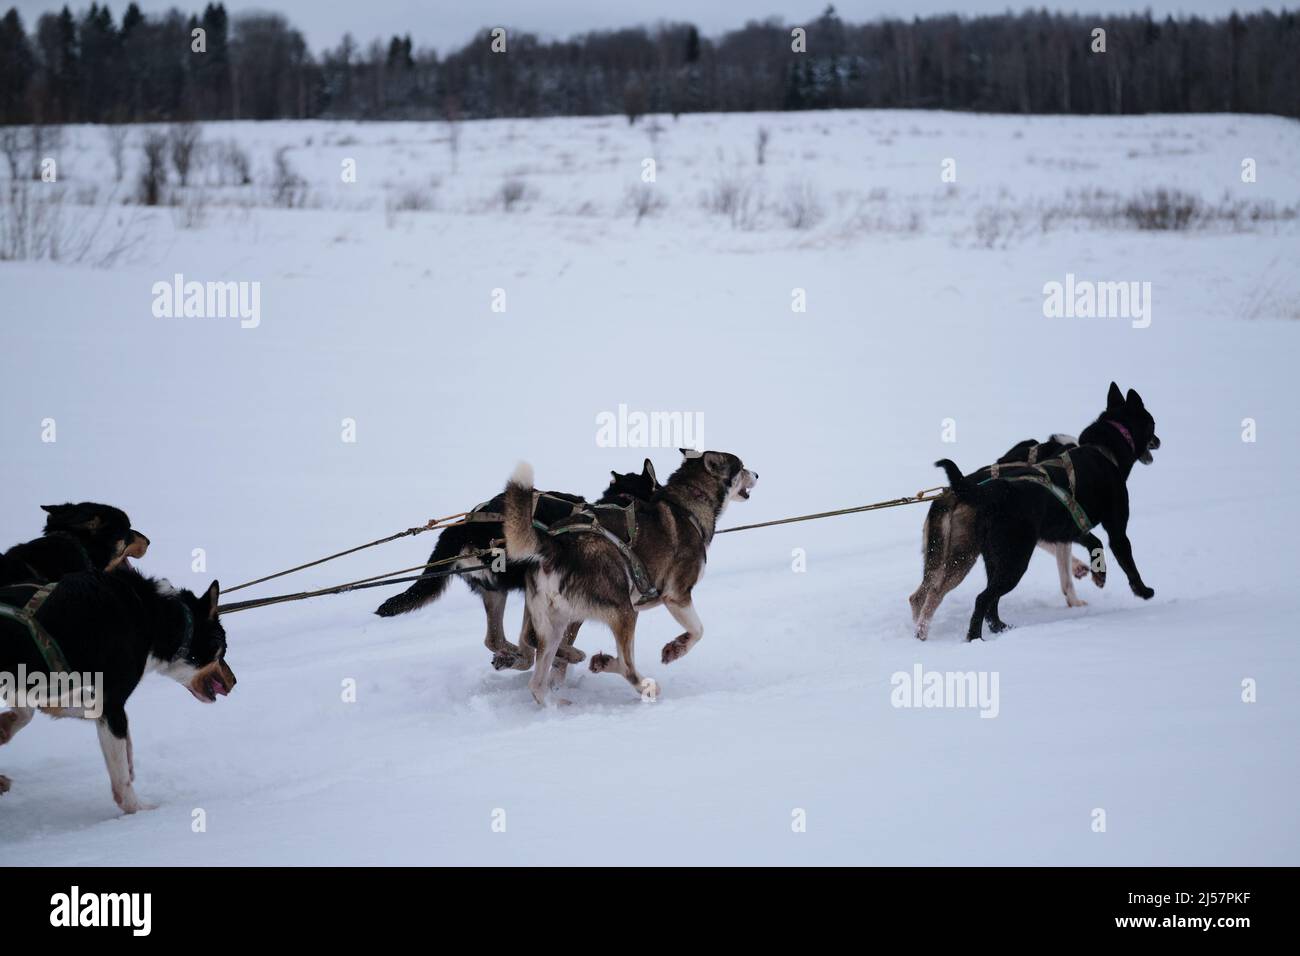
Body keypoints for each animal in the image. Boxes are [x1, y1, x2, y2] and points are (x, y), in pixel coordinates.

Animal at [1, 567, 233, 816]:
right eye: (223, 651)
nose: (234, 680)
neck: (154, 618)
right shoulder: (110, 703)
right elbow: (122, 777)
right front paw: (138, 808)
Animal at [501, 447, 759, 702]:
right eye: (741, 467)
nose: (757, 474)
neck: (688, 505)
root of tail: (557, 547)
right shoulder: (676, 595)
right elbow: (698, 630)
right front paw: (675, 649)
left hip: (555, 625)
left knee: (537, 684)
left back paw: (566, 696)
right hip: (624, 612)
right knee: (626, 665)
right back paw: (644, 685)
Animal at [909, 434, 1102, 642]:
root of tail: (949, 497)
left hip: (938, 558)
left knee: (918, 596)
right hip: (964, 557)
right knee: (935, 593)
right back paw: (923, 631)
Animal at [941, 382, 1164, 642]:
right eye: (1152, 423)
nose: (1159, 440)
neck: (1104, 450)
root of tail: (997, 493)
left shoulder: (1070, 527)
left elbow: (1095, 543)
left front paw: (1099, 574)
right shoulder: (1116, 530)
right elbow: (1128, 562)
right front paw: (1143, 591)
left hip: (996, 560)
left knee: (991, 601)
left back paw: (1001, 627)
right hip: (1014, 562)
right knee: (983, 598)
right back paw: (975, 637)